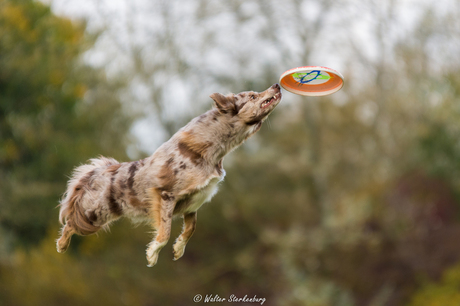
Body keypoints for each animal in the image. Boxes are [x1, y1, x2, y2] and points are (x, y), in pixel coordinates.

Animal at [56, 83, 282, 266]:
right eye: (252, 96)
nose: (277, 85)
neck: (210, 151)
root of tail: (97, 171)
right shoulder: (166, 195)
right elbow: (164, 231)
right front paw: (152, 254)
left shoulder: (193, 202)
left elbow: (191, 229)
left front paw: (178, 248)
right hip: (95, 214)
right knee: (70, 224)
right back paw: (61, 245)